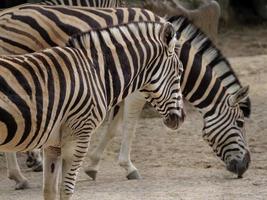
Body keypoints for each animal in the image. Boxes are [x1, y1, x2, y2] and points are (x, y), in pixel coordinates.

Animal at [0, 19, 185, 198]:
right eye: (180, 71)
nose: (182, 118)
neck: (95, 72)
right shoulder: (78, 136)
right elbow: (66, 190)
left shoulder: (53, 144)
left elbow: (49, 190)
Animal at [85, 14, 252, 179]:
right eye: (240, 123)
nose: (246, 165)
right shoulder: (135, 91)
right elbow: (128, 126)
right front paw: (128, 167)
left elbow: (112, 128)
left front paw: (92, 164)